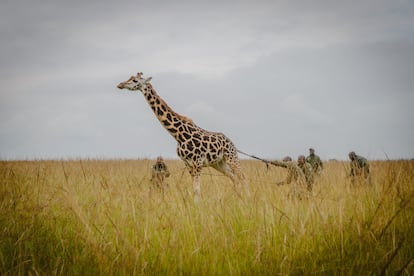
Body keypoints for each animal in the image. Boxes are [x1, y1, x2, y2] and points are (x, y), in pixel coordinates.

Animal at [116, 71, 247, 201]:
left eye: (135, 80)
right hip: (218, 163)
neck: (178, 135)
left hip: (231, 158)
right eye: (129, 78)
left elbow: (197, 190)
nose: (120, 84)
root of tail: (231, 142)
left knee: (242, 177)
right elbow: (194, 189)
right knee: (234, 178)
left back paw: (245, 198)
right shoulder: (188, 164)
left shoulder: (197, 163)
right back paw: (238, 198)